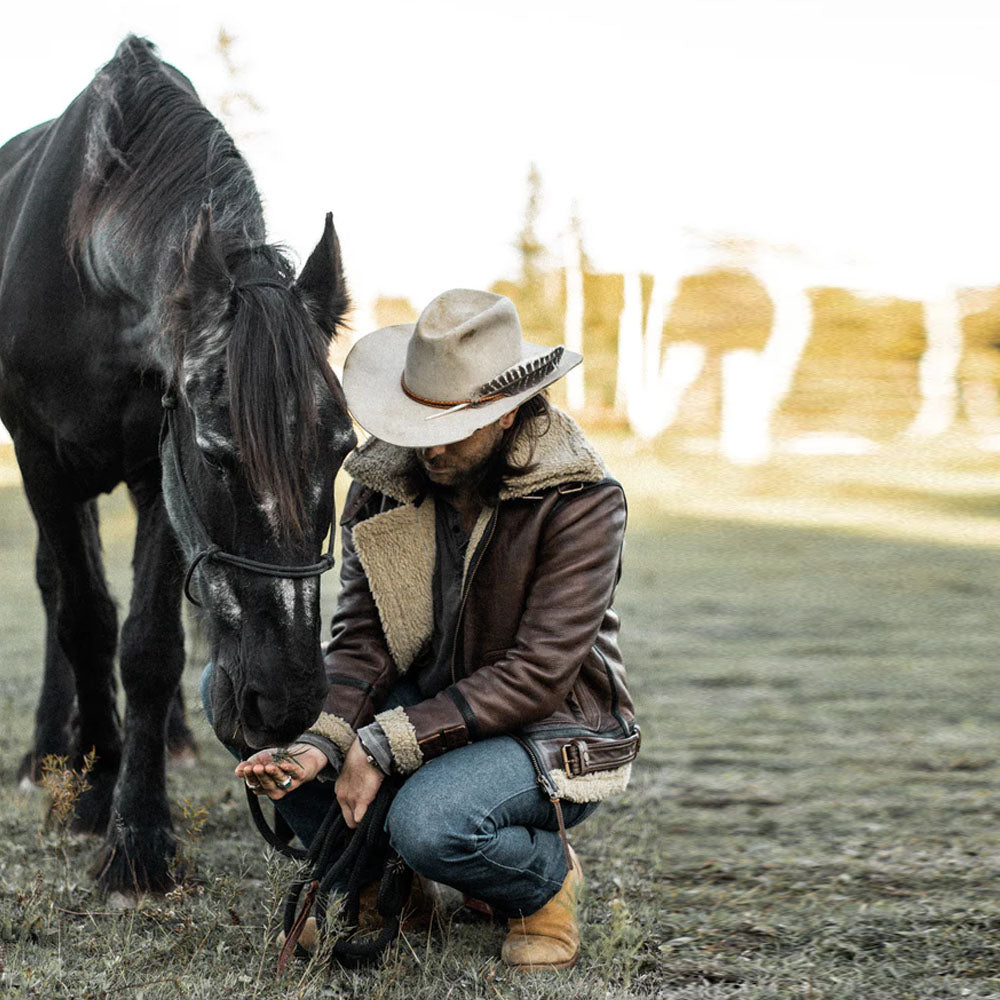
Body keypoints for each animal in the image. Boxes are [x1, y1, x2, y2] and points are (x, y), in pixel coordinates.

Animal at [0, 37, 358, 892]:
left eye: (343, 449)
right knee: (59, 589)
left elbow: (151, 645)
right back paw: (51, 750)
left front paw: (141, 829)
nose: (285, 702)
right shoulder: (43, 457)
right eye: (216, 454)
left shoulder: (156, 471)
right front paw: (97, 792)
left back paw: (165, 738)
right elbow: (86, 618)